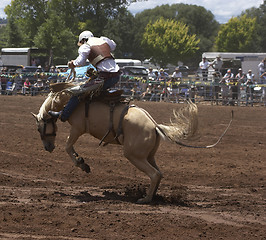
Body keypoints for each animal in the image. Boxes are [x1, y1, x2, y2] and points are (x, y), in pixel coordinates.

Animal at [31, 90, 228, 202]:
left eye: (39, 128)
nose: (48, 147)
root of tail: (154, 126)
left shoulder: (77, 128)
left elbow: (67, 146)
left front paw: (82, 164)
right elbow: (69, 146)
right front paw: (82, 161)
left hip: (134, 155)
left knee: (154, 174)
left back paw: (146, 199)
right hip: (148, 155)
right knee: (159, 173)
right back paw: (153, 196)